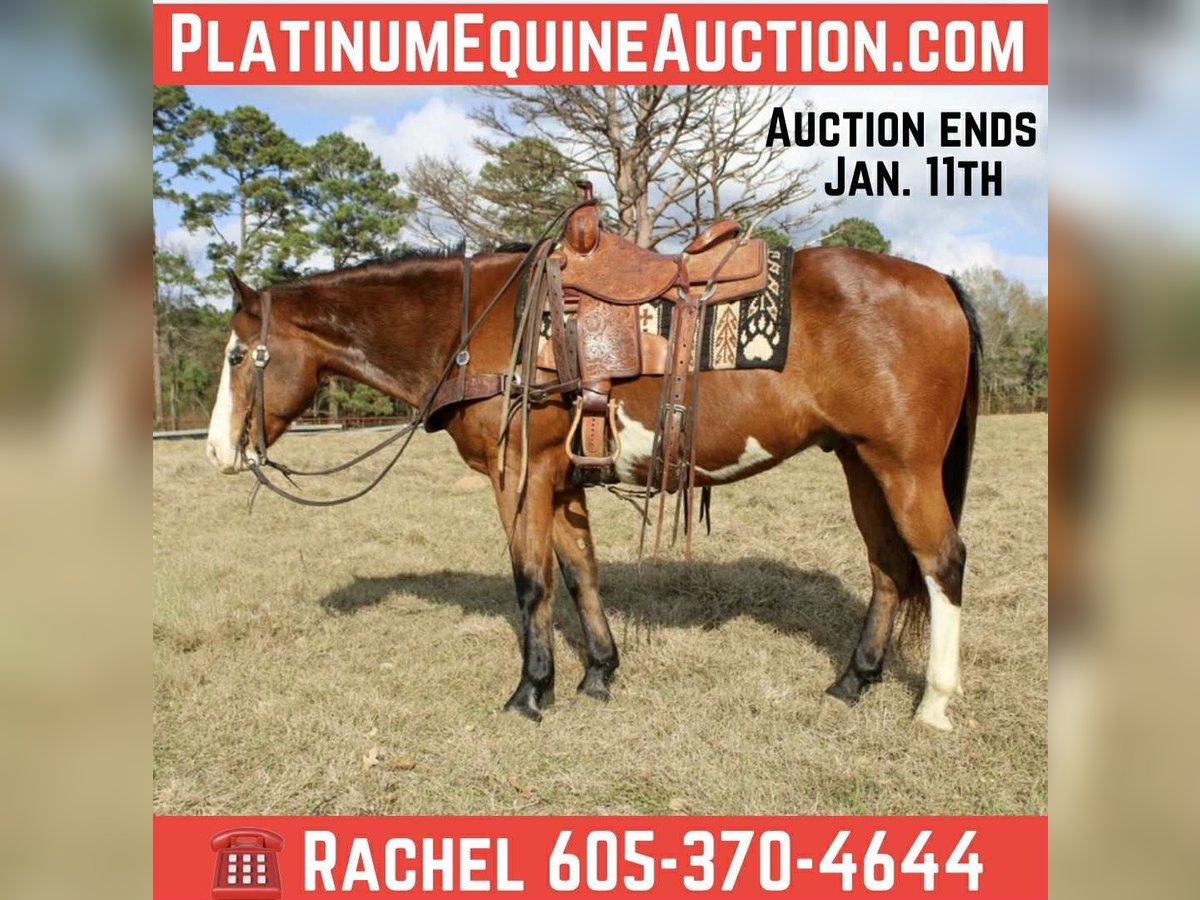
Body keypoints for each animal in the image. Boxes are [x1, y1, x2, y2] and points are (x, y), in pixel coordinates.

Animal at [205, 244, 981, 732]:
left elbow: (532, 583)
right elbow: (580, 573)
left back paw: (934, 704)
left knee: (941, 564)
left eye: (240, 355)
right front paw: (599, 672)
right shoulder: (562, 476)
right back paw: (854, 679)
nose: (217, 449)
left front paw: (530, 691)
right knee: (888, 568)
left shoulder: (519, 475)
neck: (478, 330)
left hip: (904, 467)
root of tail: (939, 280)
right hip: (860, 461)